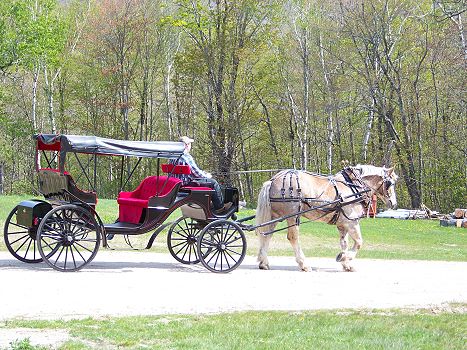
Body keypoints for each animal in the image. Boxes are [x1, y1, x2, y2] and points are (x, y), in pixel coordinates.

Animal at [256, 165, 398, 272]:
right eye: (390, 183)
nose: (394, 203)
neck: (353, 186)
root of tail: (273, 180)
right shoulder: (352, 222)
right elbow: (359, 242)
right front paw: (345, 257)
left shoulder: (342, 224)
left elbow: (344, 243)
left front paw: (346, 263)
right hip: (293, 216)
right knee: (293, 238)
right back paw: (304, 264)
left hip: (274, 216)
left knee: (266, 235)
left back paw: (264, 262)